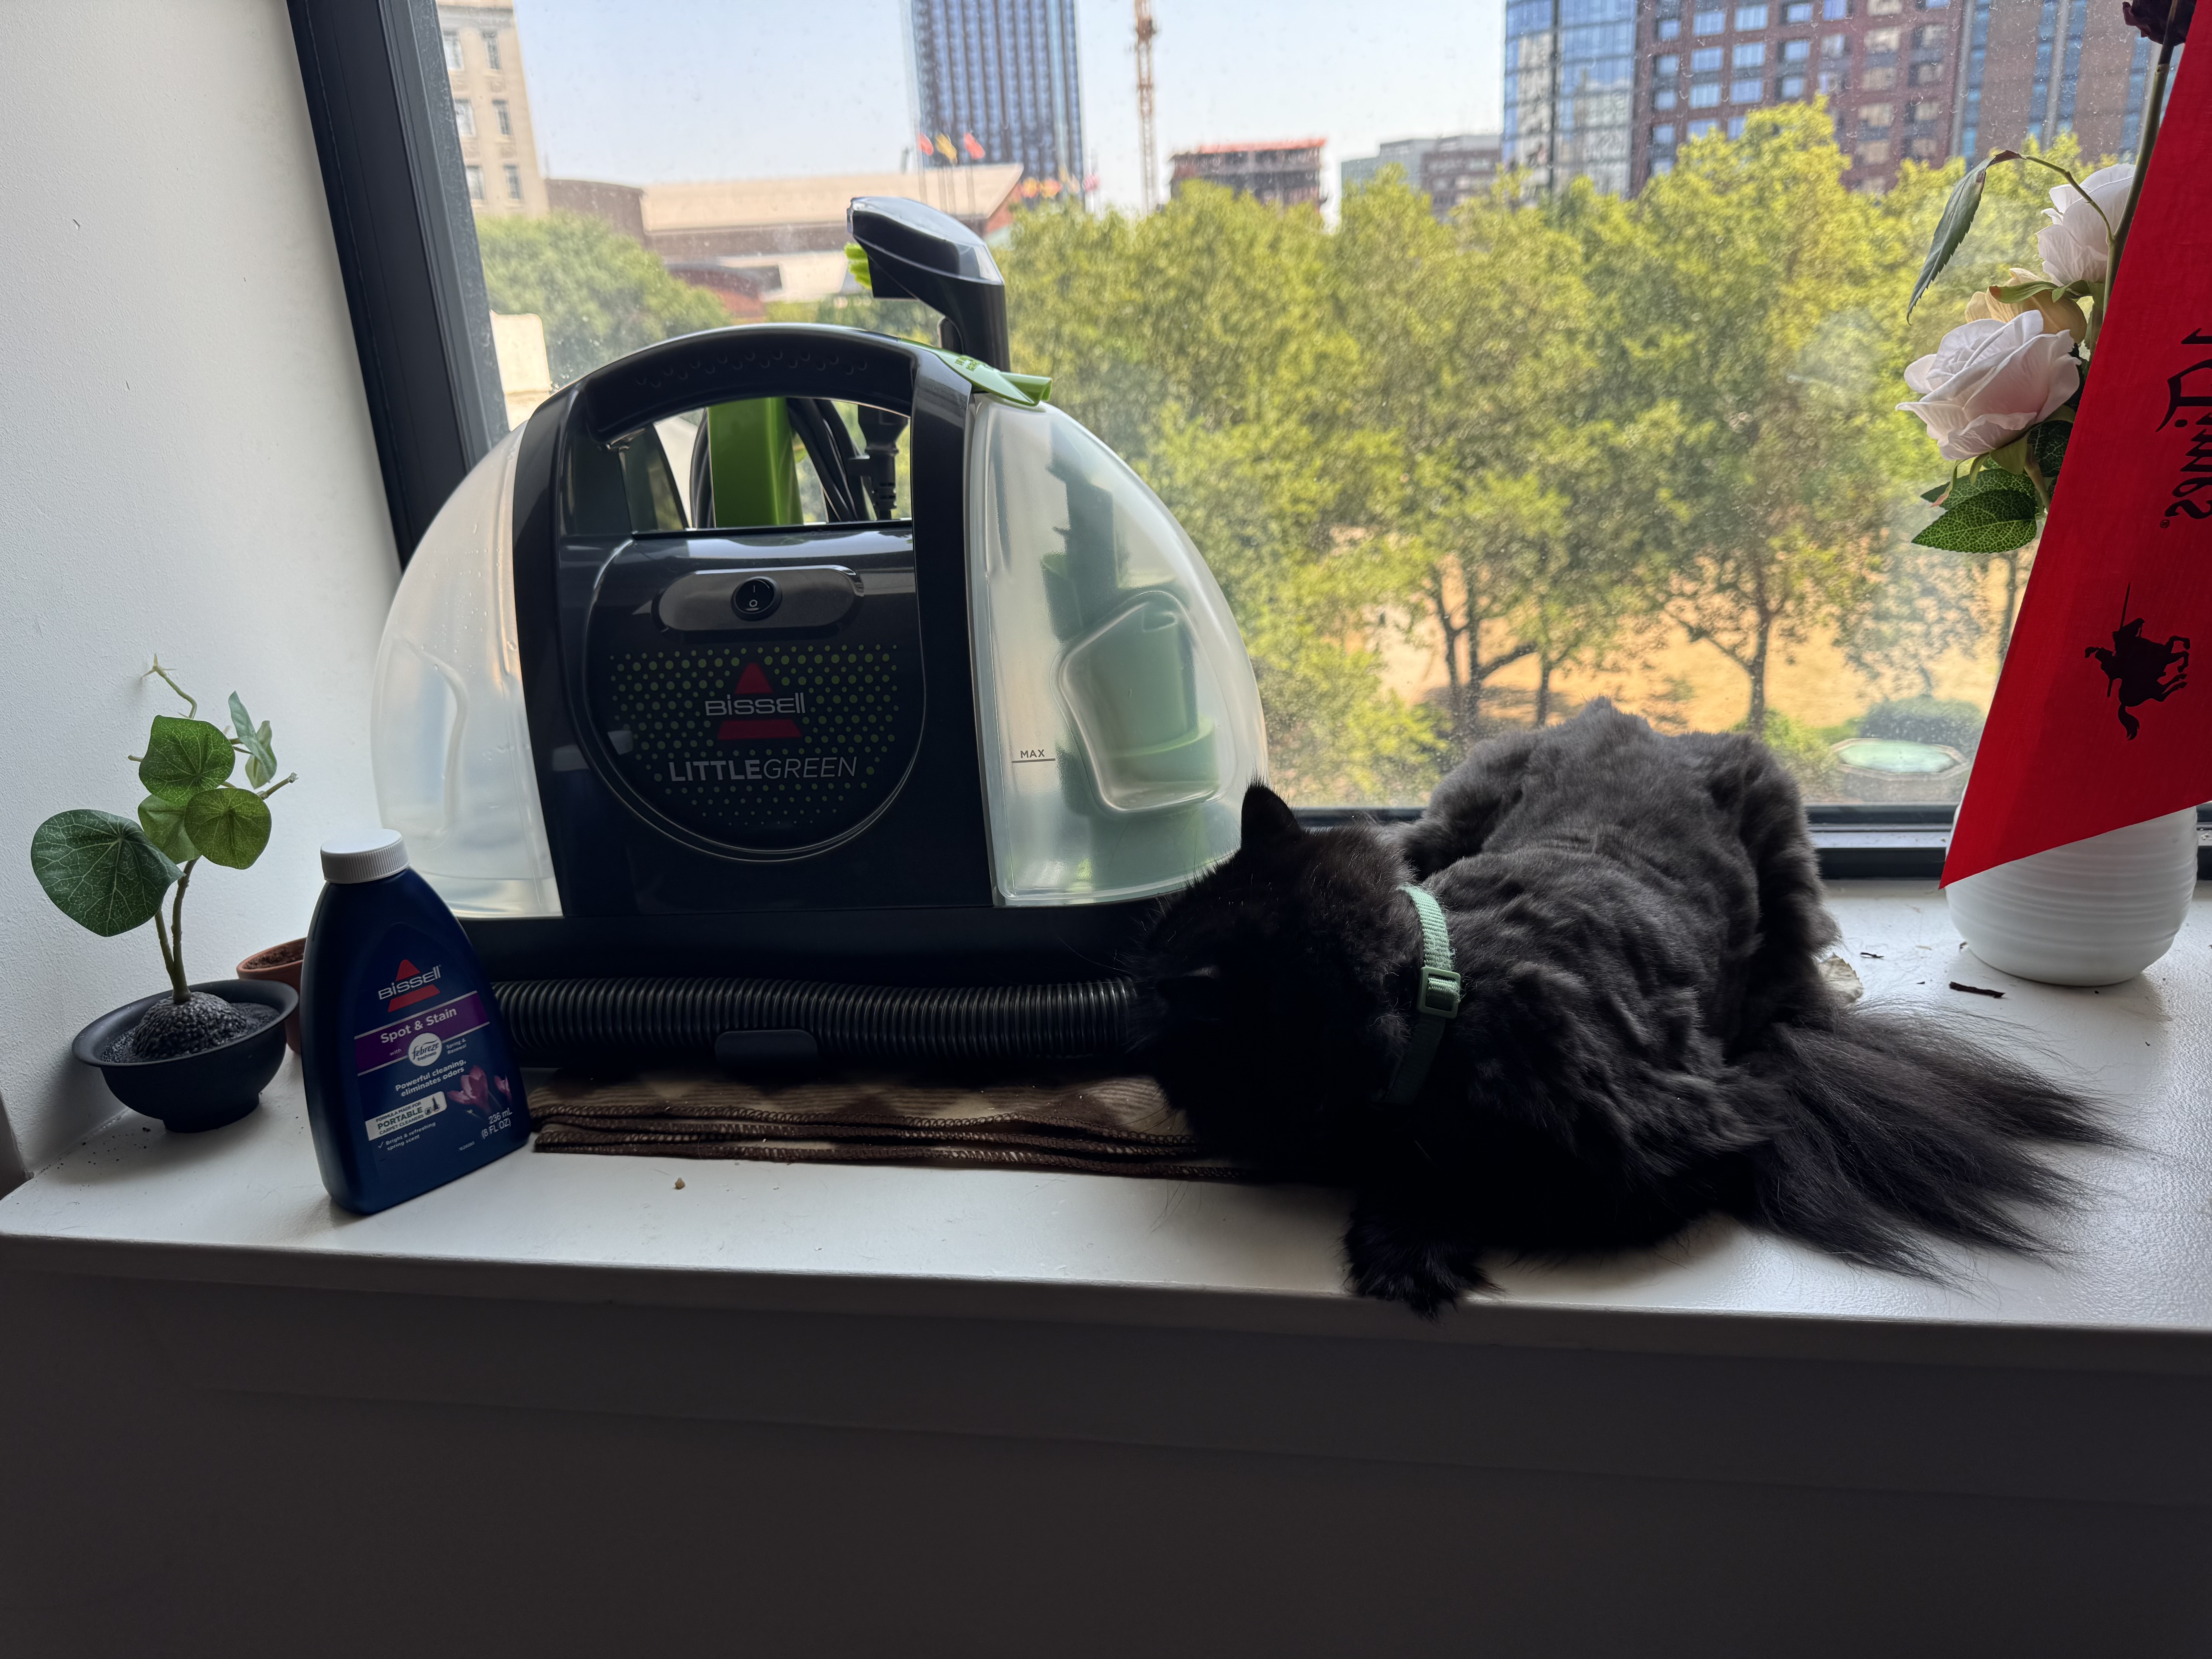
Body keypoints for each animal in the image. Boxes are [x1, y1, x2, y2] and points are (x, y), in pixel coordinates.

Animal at [1136, 701, 2107, 1314]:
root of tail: (1646, 726)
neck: (1437, 991)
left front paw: (1403, 1248)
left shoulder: (1674, 1156)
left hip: (1784, 874)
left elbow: (1476, 1180)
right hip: (1447, 819)